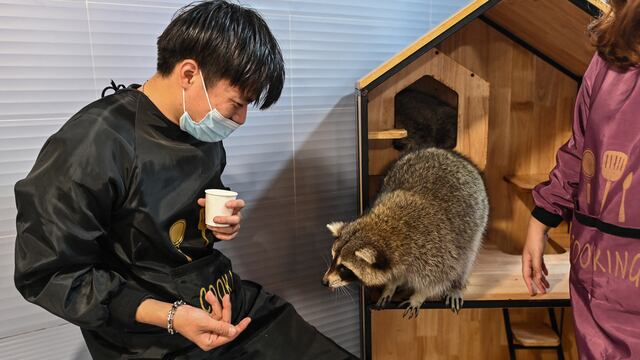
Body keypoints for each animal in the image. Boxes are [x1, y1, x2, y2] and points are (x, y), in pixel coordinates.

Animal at [322, 148, 488, 318]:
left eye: (344, 268)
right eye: (333, 258)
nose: (324, 282)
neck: (382, 229)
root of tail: (450, 153)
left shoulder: (434, 252)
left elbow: (439, 278)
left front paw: (419, 296)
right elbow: (396, 274)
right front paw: (391, 285)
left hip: (478, 217)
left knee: (466, 257)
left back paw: (457, 285)